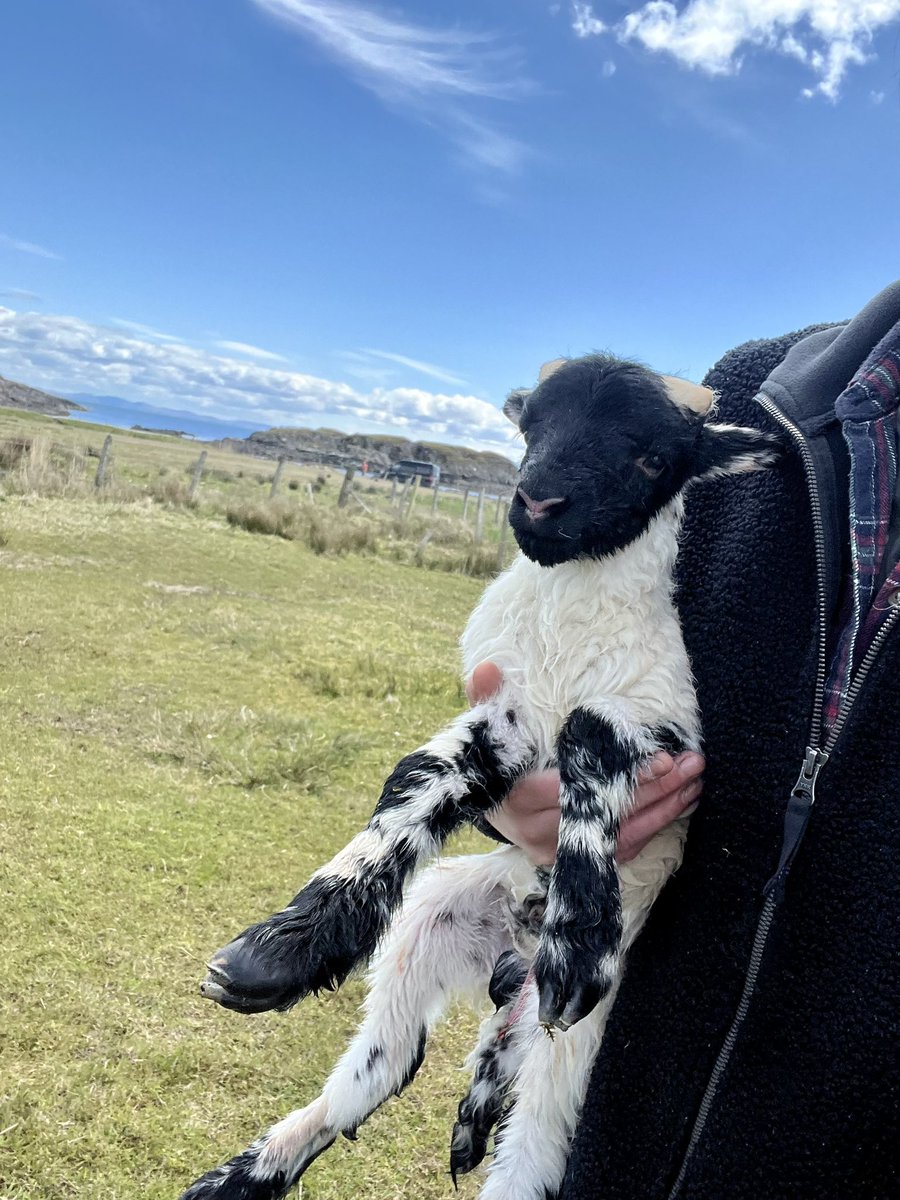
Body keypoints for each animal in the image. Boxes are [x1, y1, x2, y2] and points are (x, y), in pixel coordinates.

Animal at [181, 352, 777, 1200]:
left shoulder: (666, 726)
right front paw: (282, 948)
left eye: (653, 457)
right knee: (384, 1067)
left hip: (571, 1056)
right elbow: (415, 780)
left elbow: (587, 735)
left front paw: (580, 936)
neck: (564, 633)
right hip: (429, 923)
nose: (538, 501)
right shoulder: (503, 717)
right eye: (532, 426)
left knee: (522, 1152)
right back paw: (243, 1174)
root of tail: (511, 968)